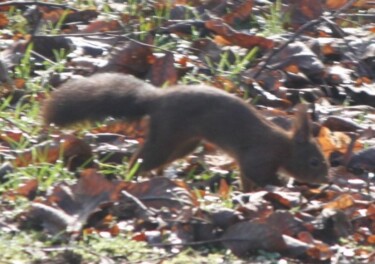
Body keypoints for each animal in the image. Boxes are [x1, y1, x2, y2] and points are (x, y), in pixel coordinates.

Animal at [43, 72, 328, 192]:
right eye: (314, 162)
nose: (326, 180)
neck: (284, 147)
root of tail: (157, 99)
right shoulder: (259, 156)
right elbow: (257, 174)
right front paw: (279, 187)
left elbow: (248, 180)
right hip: (167, 135)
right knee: (141, 159)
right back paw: (132, 178)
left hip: (184, 143)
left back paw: (159, 177)